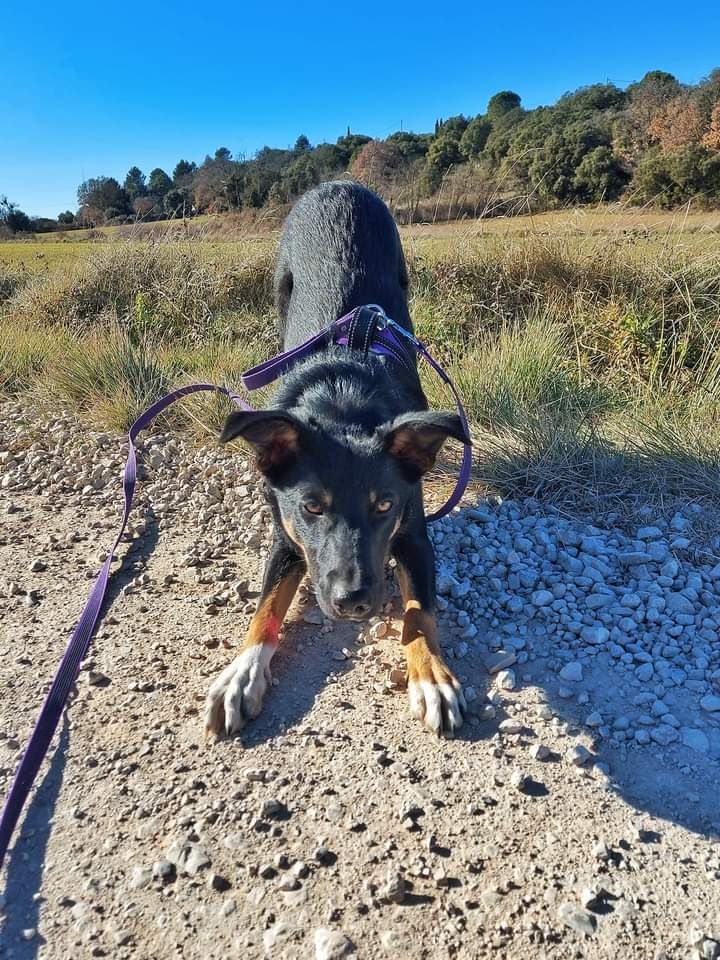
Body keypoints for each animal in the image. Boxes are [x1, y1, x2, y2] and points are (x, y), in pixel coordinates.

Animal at [205, 186, 470, 744]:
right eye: (311, 507)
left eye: (385, 505)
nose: (353, 603)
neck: (342, 401)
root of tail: (338, 186)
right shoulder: (286, 538)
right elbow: (265, 607)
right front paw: (242, 673)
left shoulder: (415, 536)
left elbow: (420, 612)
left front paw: (432, 676)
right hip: (281, 290)